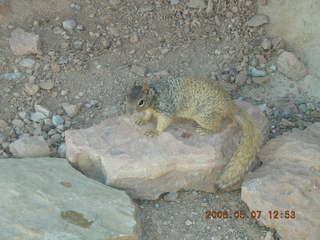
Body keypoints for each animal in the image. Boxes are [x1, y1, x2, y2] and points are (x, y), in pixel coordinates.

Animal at [125, 77, 262, 191]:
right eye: (127, 97)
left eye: (141, 102)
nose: (129, 111)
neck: (155, 95)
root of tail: (230, 106)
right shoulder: (150, 110)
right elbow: (147, 116)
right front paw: (142, 120)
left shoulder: (165, 109)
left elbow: (164, 122)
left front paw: (154, 131)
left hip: (203, 116)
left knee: (216, 126)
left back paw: (205, 130)